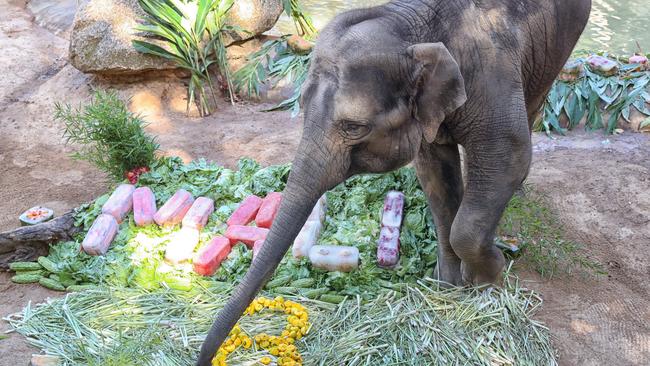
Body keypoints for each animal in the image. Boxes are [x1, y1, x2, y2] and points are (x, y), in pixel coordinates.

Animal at [196, 0, 588, 362]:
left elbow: (508, 157)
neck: (409, 26)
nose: (204, 357)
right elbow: (434, 172)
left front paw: (488, 283)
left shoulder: (492, 76)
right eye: (302, 106)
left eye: (354, 127)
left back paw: (516, 192)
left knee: (534, 106)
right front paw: (447, 285)